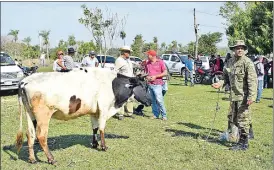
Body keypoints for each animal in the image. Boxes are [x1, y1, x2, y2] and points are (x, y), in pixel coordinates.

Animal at [15, 67, 151, 165]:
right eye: (144, 87)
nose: (150, 101)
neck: (112, 84)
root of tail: (24, 81)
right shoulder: (104, 108)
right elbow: (102, 128)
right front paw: (104, 146)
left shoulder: (94, 111)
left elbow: (95, 128)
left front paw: (95, 144)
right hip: (43, 115)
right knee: (41, 136)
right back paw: (51, 159)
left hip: (30, 114)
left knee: (30, 134)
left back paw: (32, 159)